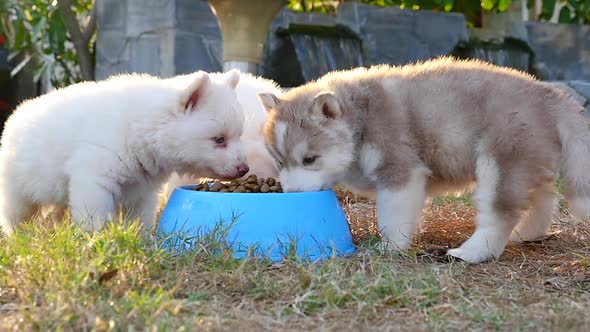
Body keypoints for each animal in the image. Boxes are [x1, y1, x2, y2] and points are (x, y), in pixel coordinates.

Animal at [0, 70, 250, 236]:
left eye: (240, 135)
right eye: (219, 139)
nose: (244, 169)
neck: (142, 128)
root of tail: (16, 115)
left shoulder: (143, 188)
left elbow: (140, 218)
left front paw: (141, 240)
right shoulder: (95, 178)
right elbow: (95, 214)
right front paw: (97, 241)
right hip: (18, 191)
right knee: (16, 215)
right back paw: (20, 238)